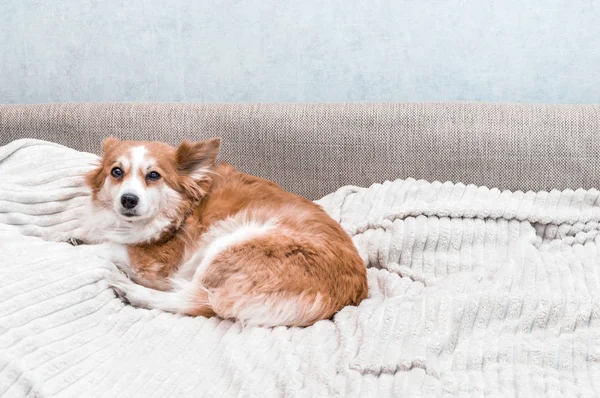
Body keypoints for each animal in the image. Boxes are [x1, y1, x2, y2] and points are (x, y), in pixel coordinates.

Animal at [80, 137, 368, 326]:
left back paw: (130, 290)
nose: (128, 200)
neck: (182, 209)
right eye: (116, 172)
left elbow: (108, 247)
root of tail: (348, 295)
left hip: (228, 244)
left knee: (199, 302)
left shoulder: (157, 263)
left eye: (153, 175)